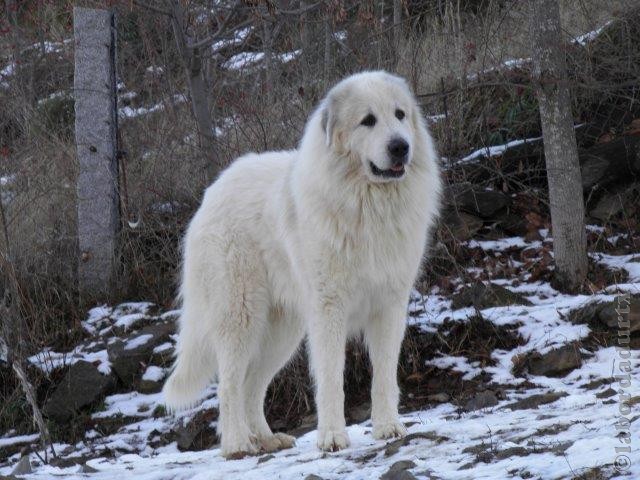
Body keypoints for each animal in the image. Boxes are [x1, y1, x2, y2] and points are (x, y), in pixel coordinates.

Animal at [162, 70, 442, 458]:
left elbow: (384, 375)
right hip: (241, 316)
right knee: (229, 384)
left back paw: (266, 439)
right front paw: (333, 438)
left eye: (400, 114)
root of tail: (213, 189)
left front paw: (387, 427)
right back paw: (236, 444)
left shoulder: (390, 306)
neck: (367, 204)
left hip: (283, 331)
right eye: (368, 120)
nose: (400, 146)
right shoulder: (329, 309)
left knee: (251, 385)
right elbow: (331, 379)